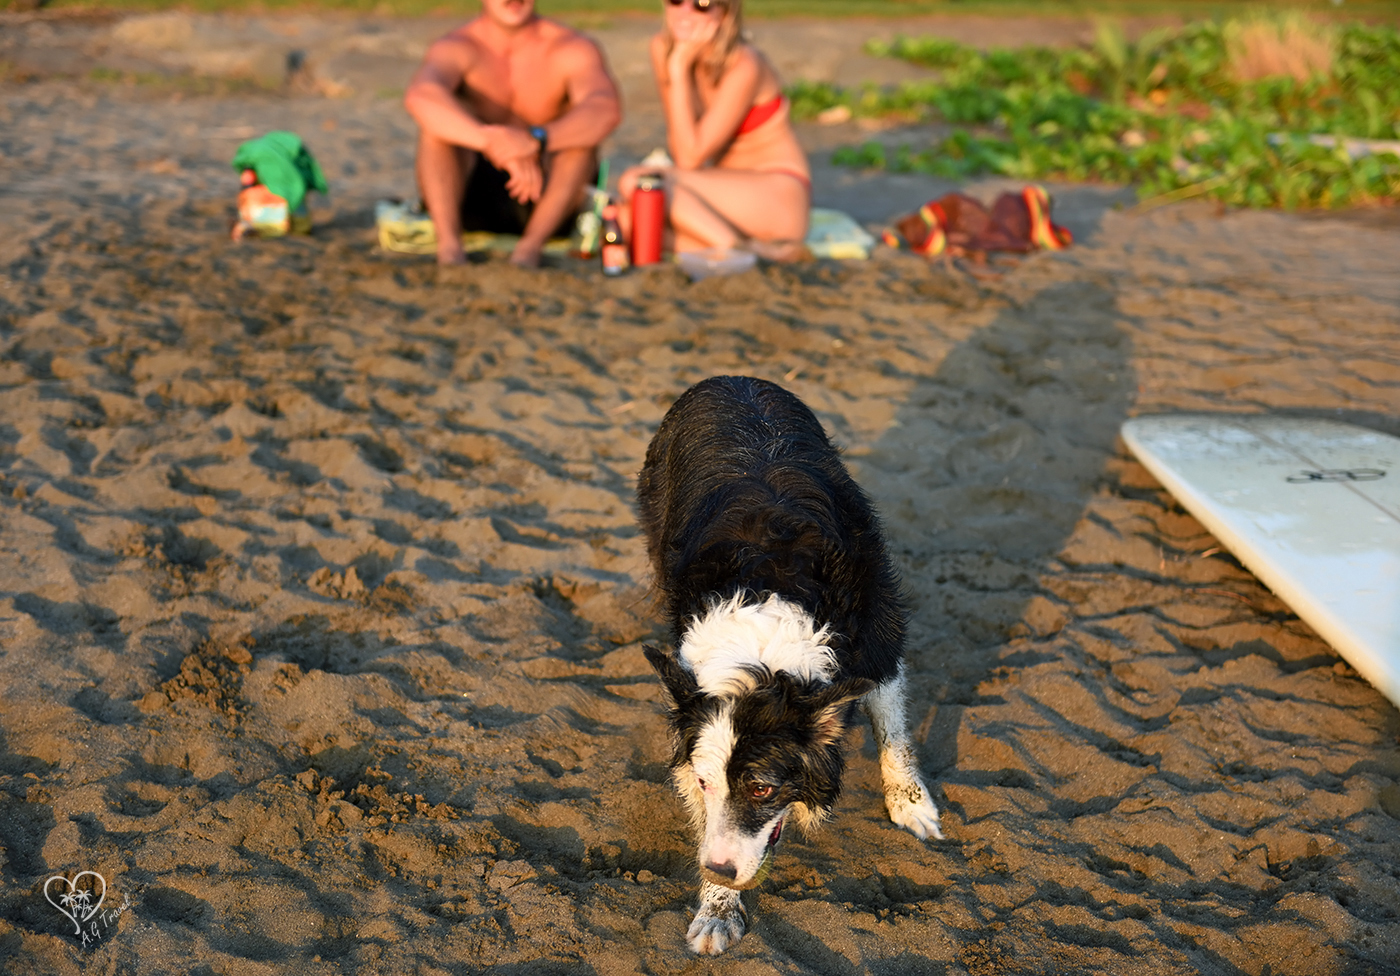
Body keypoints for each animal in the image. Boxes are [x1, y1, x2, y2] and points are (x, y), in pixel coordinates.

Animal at [641, 378, 946, 957]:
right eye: (704, 780)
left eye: (761, 789)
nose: (717, 871)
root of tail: (729, 378)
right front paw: (718, 908)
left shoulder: (878, 638)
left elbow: (893, 730)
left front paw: (911, 805)